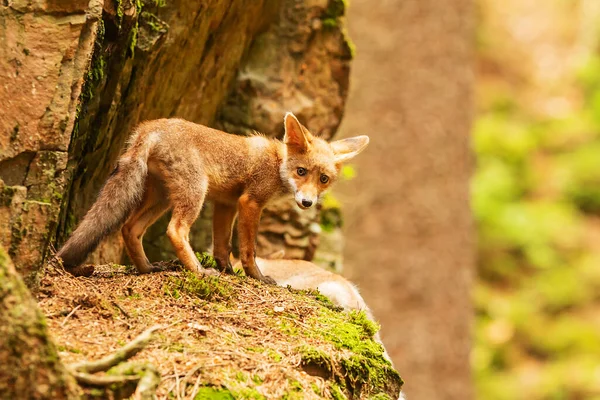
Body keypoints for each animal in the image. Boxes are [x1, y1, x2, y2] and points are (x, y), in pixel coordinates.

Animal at [56, 111, 368, 282]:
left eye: (323, 179)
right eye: (301, 171)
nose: (307, 202)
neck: (277, 163)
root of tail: (150, 127)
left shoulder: (226, 204)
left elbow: (222, 246)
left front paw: (228, 270)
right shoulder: (250, 202)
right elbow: (248, 250)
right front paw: (257, 277)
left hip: (162, 197)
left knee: (129, 228)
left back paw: (146, 269)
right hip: (194, 192)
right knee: (175, 230)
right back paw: (197, 271)